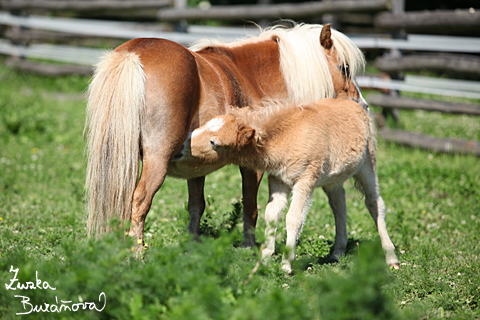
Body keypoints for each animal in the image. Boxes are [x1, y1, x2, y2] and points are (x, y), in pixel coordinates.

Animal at [84, 23, 366, 248]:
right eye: (344, 67)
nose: (361, 104)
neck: (252, 77)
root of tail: (134, 53)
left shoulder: (194, 166)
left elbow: (196, 206)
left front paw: (193, 245)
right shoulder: (253, 166)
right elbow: (251, 207)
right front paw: (248, 247)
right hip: (156, 159)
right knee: (140, 200)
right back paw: (137, 254)